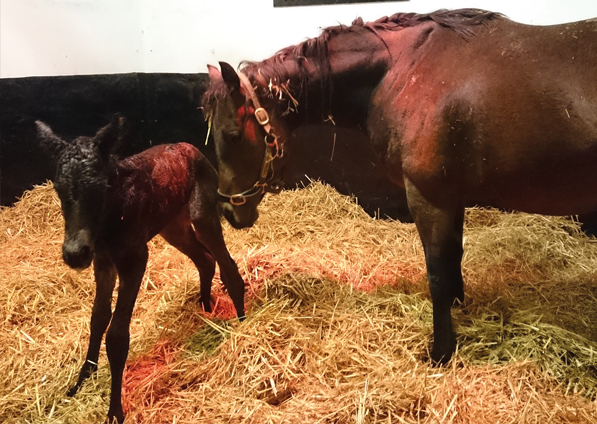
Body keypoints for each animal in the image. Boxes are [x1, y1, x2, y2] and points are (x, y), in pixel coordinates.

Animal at [36, 117, 244, 424]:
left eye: (99, 188)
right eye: (59, 190)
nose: (75, 253)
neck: (110, 221)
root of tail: (191, 147)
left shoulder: (135, 258)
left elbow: (117, 336)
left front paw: (114, 411)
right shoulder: (103, 262)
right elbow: (98, 317)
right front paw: (82, 380)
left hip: (201, 214)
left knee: (227, 265)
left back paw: (243, 322)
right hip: (173, 226)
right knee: (205, 259)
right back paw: (206, 305)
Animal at [203, 9, 596, 366]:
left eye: (232, 135)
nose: (229, 209)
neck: (405, 69)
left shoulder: (428, 197)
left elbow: (438, 273)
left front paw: (441, 351)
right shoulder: (449, 198)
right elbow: (454, 260)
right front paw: (459, 310)